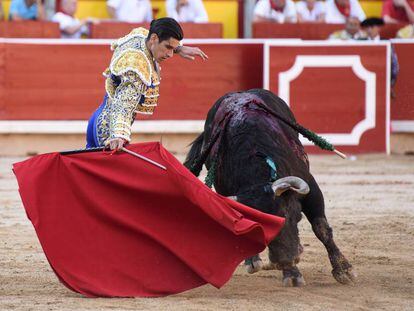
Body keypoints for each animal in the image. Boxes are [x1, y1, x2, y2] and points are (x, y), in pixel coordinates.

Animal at [184, 88, 356, 288]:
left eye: (293, 216)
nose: (284, 260)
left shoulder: (311, 188)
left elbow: (321, 227)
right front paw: (291, 273)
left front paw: (344, 270)